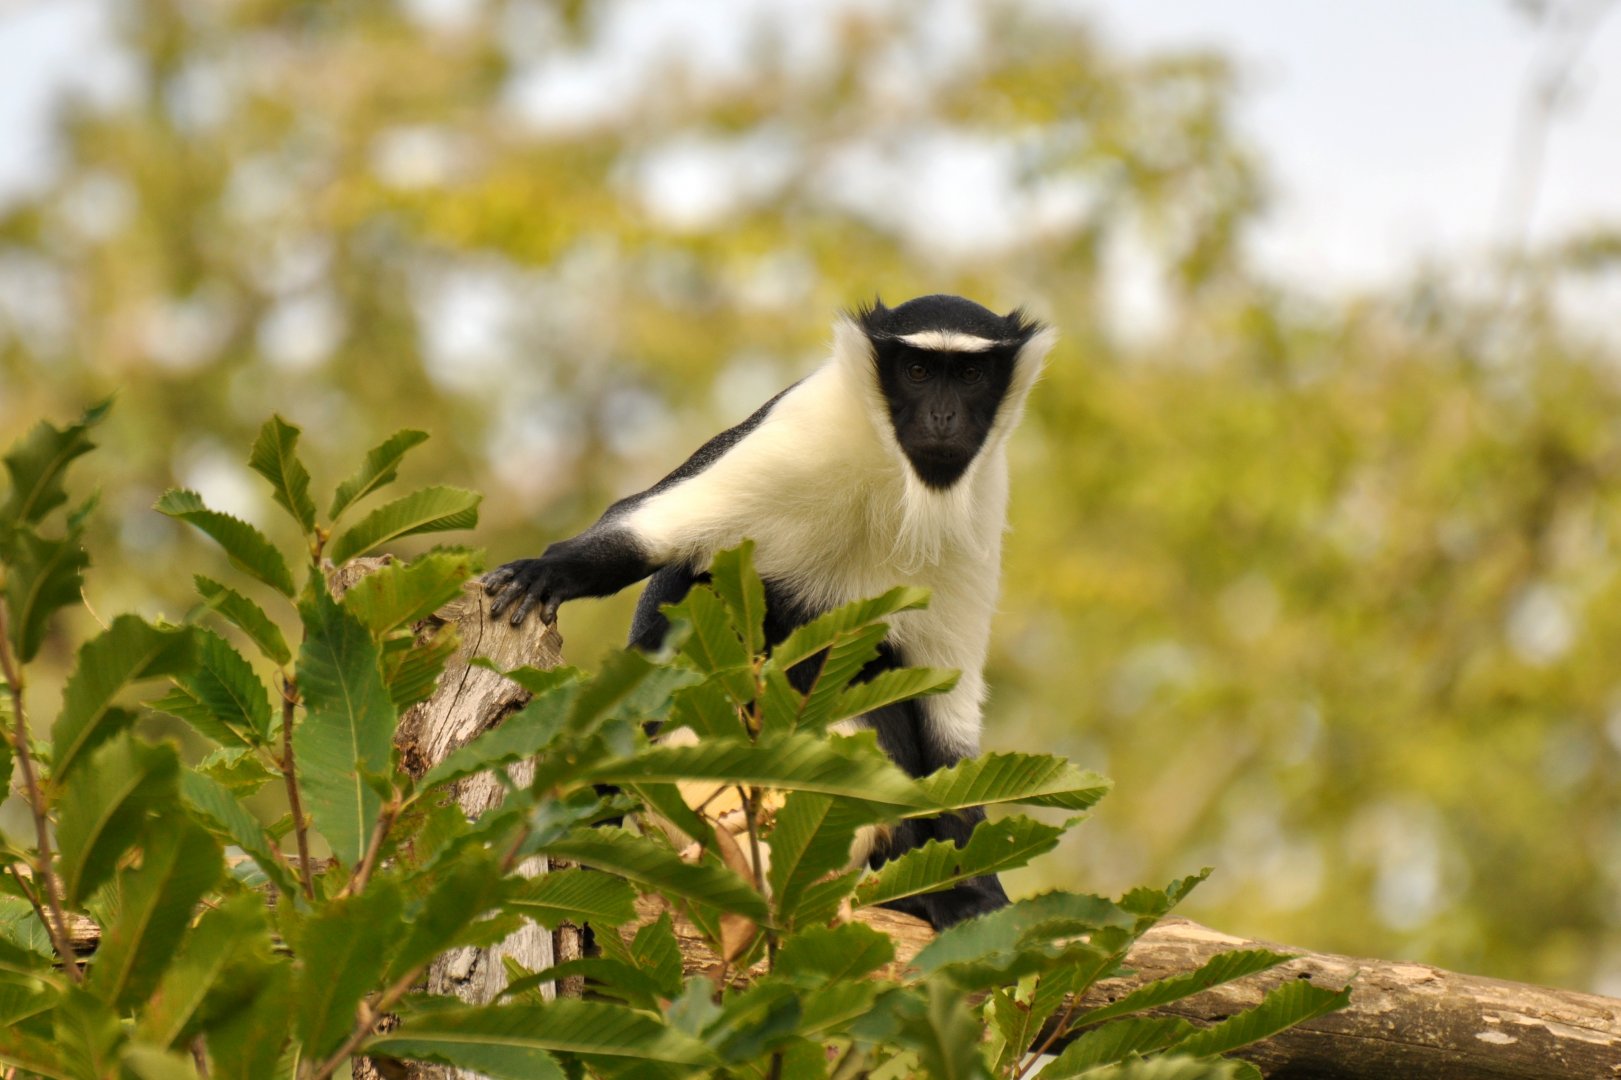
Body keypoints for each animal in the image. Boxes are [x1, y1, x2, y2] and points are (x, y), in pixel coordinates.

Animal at [484, 294, 1056, 929]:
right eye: (918, 370)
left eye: (972, 374)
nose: (943, 417)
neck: (896, 478)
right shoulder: (802, 429)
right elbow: (643, 533)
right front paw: (547, 572)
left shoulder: (979, 506)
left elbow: (943, 720)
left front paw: (975, 892)